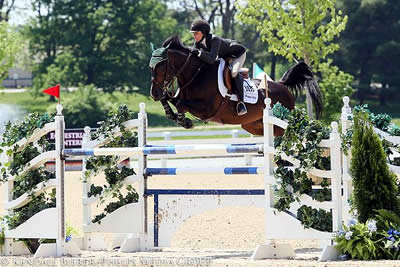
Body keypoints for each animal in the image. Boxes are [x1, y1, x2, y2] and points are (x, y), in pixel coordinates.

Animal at [149, 35, 322, 136]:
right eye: (151, 67)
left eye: (161, 67)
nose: (153, 94)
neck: (195, 74)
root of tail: (281, 85)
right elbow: (170, 100)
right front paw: (172, 114)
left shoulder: (207, 109)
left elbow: (180, 104)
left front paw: (185, 122)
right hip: (252, 125)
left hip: (283, 120)